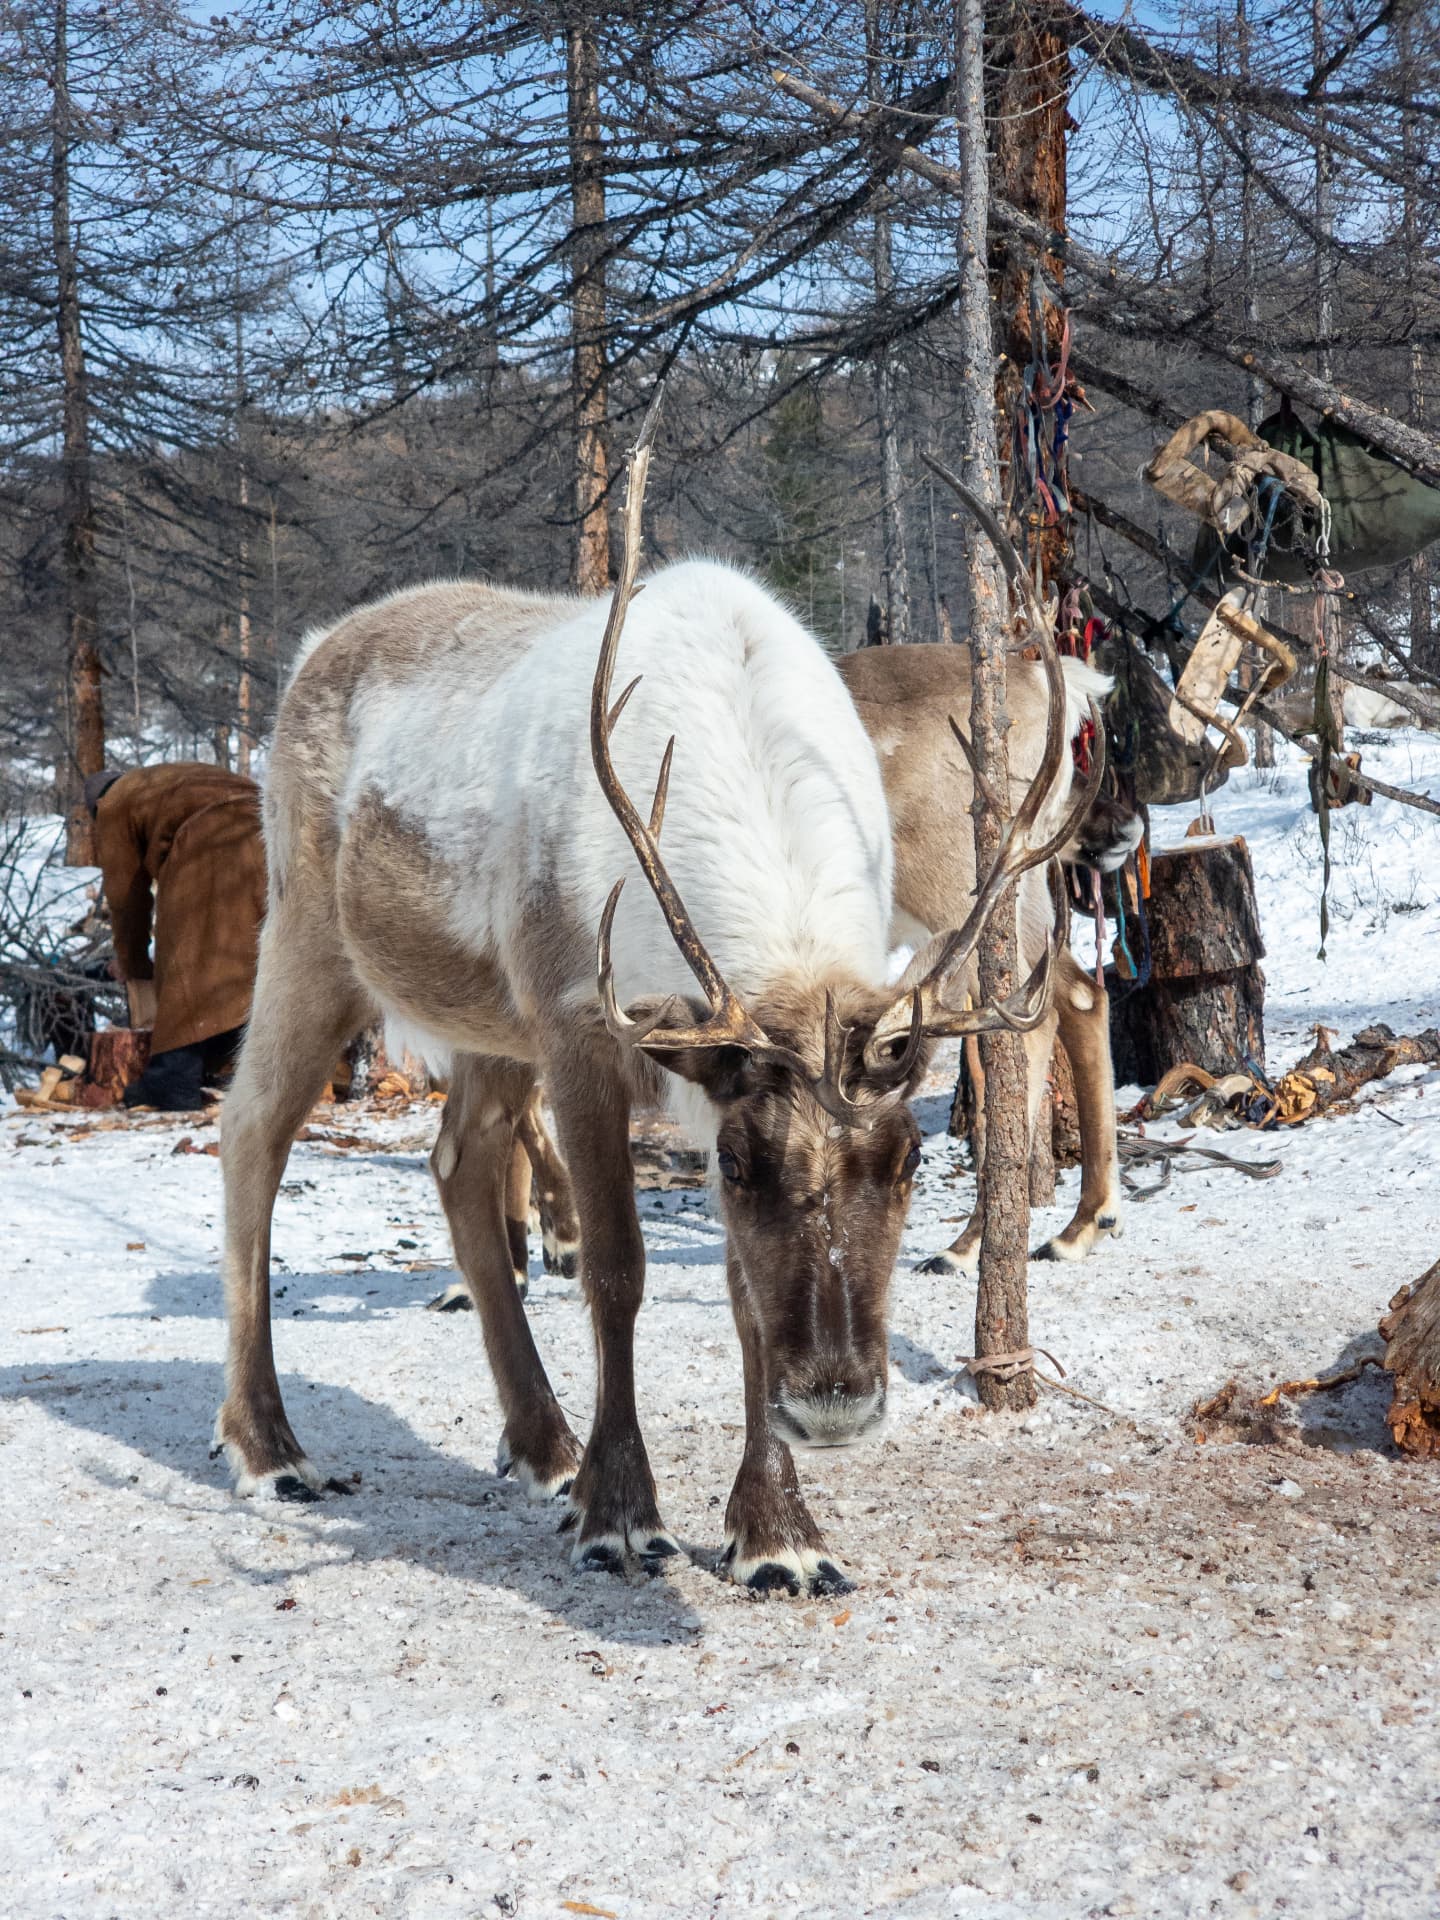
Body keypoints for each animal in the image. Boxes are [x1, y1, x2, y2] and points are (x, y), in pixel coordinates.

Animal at [213, 401, 1097, 1595]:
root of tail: (311, 651)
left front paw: (778, 1533)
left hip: (490, 1015)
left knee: (458, 1159)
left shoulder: (678, 1059)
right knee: (252, 1129)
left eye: (910, 1159)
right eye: (737, 1164)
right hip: (313, 937)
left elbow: (743, 1300)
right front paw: (624, 1514)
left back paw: (542, 1445)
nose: (837, 1408)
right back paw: (270, 1447)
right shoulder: (582, 1032)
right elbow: (617, 1271)